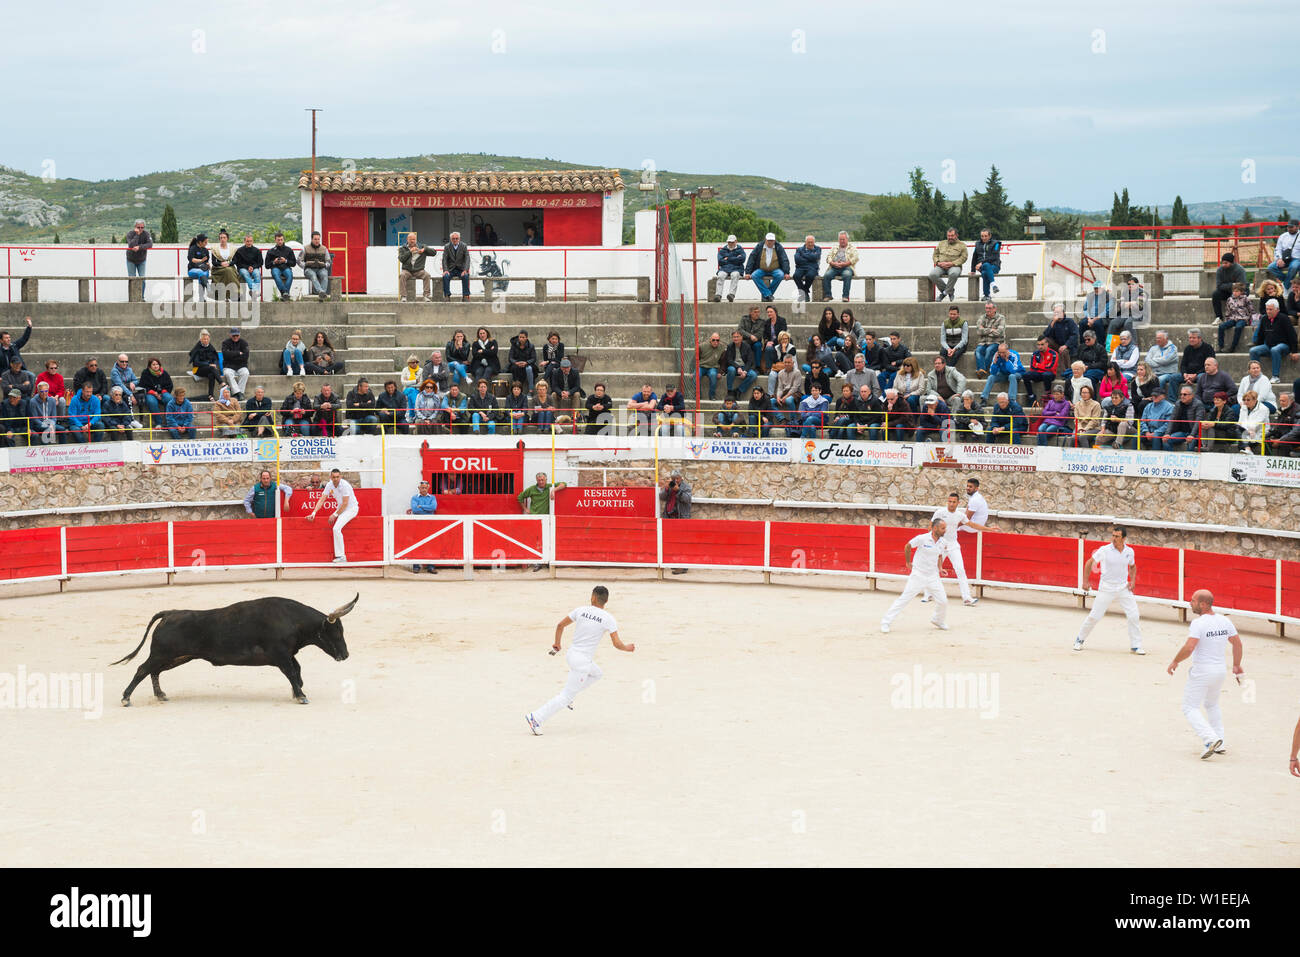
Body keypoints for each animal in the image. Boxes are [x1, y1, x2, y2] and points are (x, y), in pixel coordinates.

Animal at [113, 595, 358, 707]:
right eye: (336, 632)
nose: (345, 655)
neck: (292, 620)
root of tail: (170, 613)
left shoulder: (288, 655)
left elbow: (297, 671)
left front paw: (297, 691)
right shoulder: (281, 655)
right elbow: (291, 672)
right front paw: (300, 695)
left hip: (178, 656)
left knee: (154, 671)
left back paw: (161, 695)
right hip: (162, 653)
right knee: (142, 669)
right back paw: (126, 698)